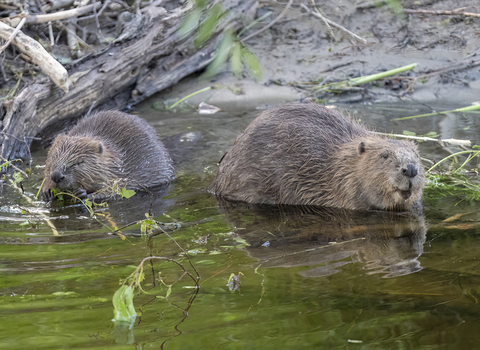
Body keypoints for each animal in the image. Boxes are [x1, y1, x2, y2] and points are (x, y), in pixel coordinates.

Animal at [42, 110, 174, 201]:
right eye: (52, 158)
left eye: (79, 163)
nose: (56, 176)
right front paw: (46, 192)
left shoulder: (119, 173)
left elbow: (115, 189)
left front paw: (84, 194)